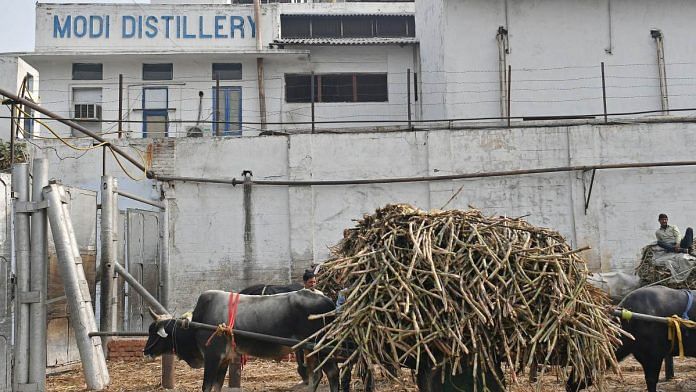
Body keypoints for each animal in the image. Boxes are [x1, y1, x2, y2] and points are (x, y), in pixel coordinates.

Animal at [145, 290, 342, 390]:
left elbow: (206, 387)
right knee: (316, 374)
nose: (146, 351)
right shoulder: (224, 359)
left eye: (154, 332)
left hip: (321, 346)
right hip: (311, 350)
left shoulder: (212, 357)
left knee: (332, 373)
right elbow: (216, 387)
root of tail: (329, 302)